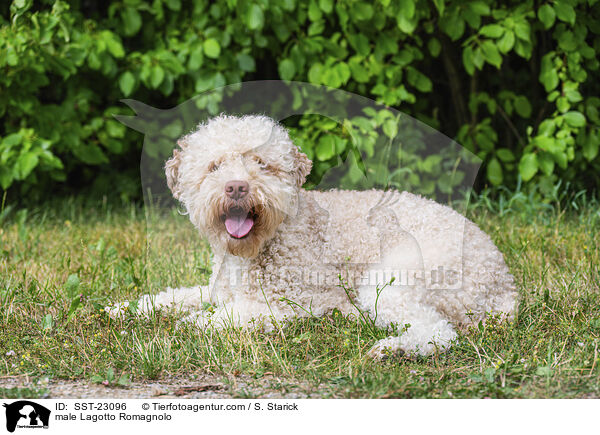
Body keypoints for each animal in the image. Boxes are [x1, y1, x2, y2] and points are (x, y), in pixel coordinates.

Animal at [125, 114, 516, 360]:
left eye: (262, 164)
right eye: (215, 166)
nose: (236, 187)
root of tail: (506, 285)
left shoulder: (294, 303)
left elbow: (228, 315)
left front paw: (197, 322)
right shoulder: (217, 290)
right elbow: (175, 296)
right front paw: (127, 309)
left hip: (394, 280)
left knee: (437, 331)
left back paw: (396, 349)